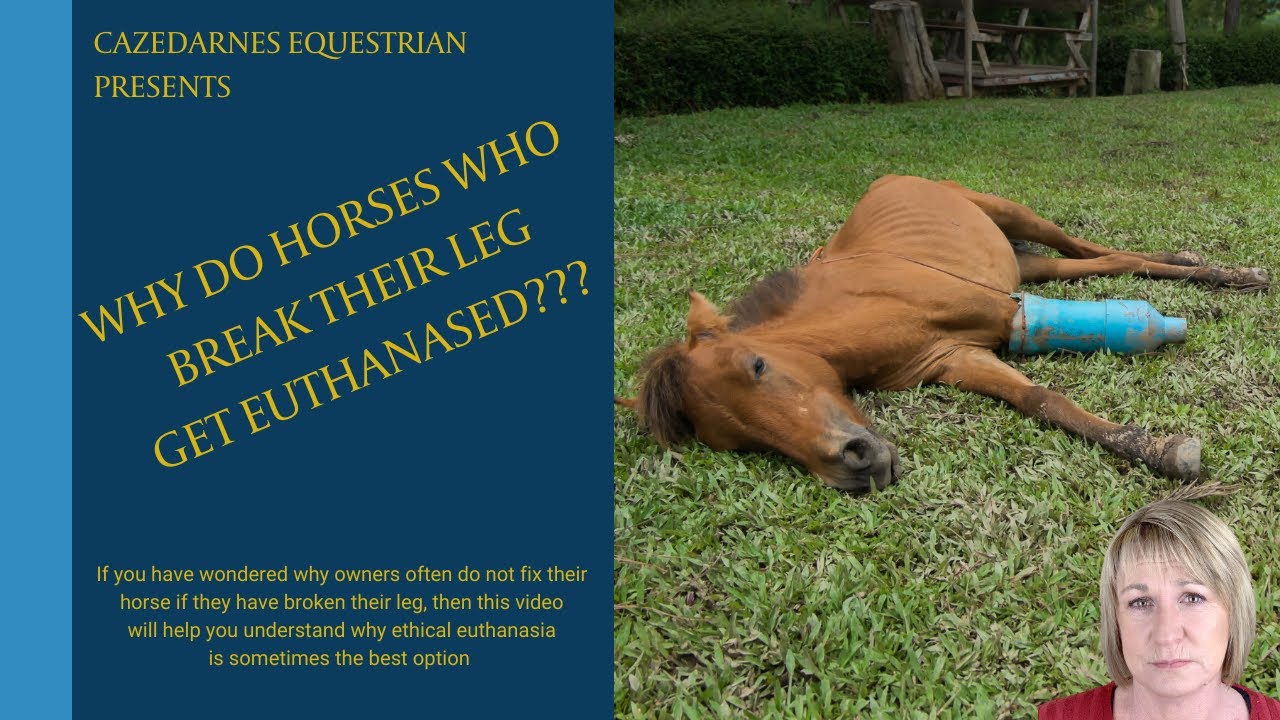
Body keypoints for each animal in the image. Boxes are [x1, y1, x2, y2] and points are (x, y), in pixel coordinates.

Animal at [616, 175, 1269, 492]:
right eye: (737, 443)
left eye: (756, 365)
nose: (854, 465)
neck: (873, 305)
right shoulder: (957, 357)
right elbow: (1043, 401)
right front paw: (1160, 451)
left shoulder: (1005, 311)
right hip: (1023, 264)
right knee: (1095, 263)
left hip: (1015, 217)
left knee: (1089, 249)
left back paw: (1223, 272)